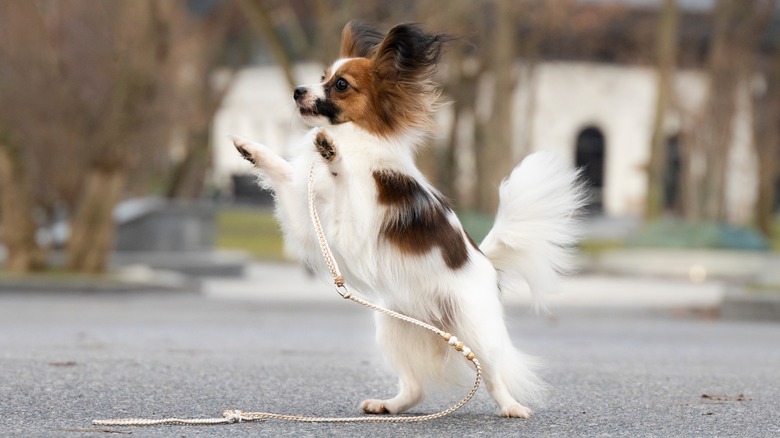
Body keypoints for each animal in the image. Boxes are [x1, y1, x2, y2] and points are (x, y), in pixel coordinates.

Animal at [232, 21, 584, 420]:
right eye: (321, 77)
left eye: (341, 84)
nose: (297, 91)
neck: (356, 140)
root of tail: (486, 261)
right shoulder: (305, 213)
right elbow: (283, 172)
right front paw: (251, 150)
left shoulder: (354, 227)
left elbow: (343, 179)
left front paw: (331, 153)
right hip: (392, 326)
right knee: (415, 389)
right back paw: (389, 405)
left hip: (475, 328)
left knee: (494, 375)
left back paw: (511, 406)